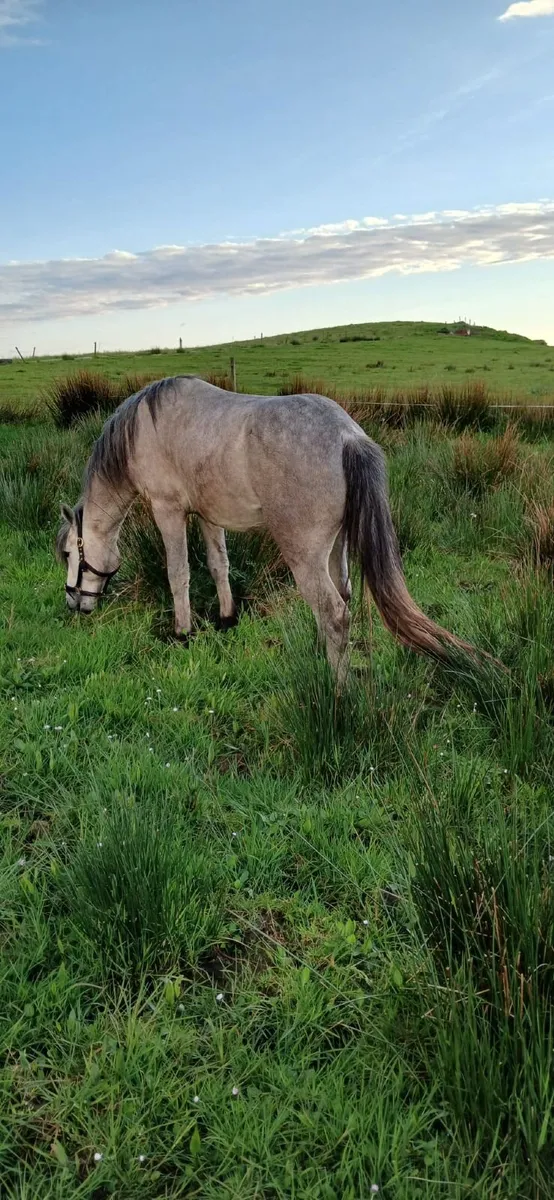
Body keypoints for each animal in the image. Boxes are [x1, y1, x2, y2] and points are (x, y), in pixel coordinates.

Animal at [56, 374, 477, 680]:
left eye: (68, 553)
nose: (75, 603)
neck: (145, 428)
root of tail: (348, 436)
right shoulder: (208, 516)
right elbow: (218, 565)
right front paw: (227, 618)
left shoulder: (168, 512)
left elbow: (178, 573)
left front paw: (183, 633)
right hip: (336, 546)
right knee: (340, 597)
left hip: (303, 553)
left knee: (334, 613)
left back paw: (339, 693)